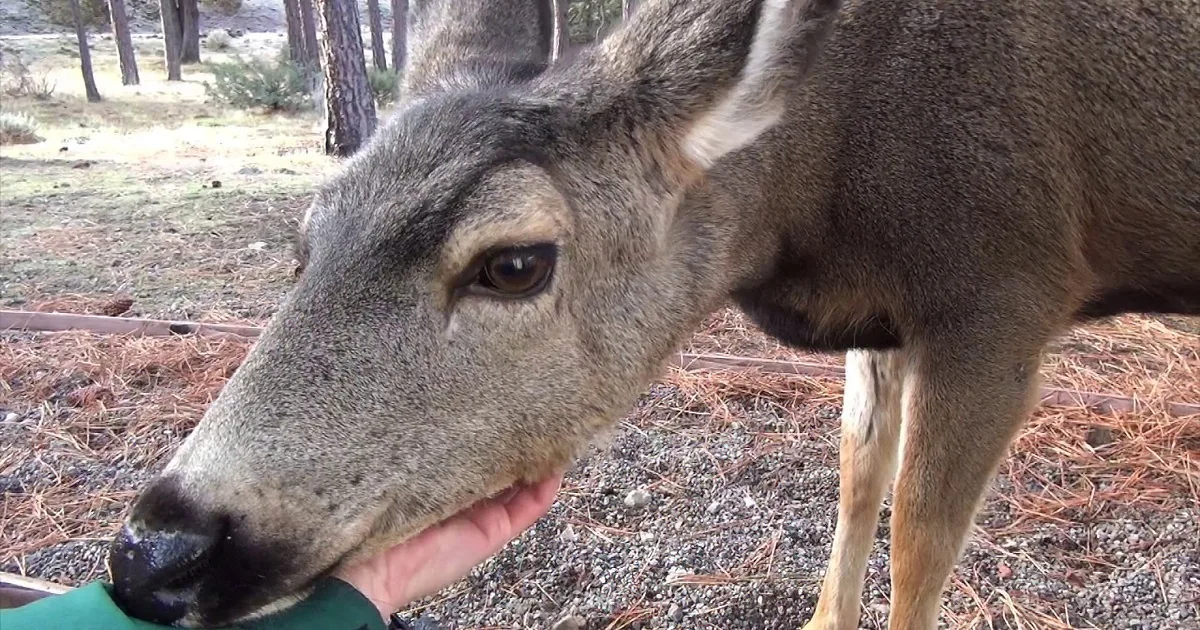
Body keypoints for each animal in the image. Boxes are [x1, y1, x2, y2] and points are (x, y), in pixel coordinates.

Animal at [104, 0, 1200, 627]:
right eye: (306, 240)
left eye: (513, 262)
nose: (154, 551)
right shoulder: (884, 320)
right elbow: (857, 478)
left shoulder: (1001, 287)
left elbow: (922, 544)